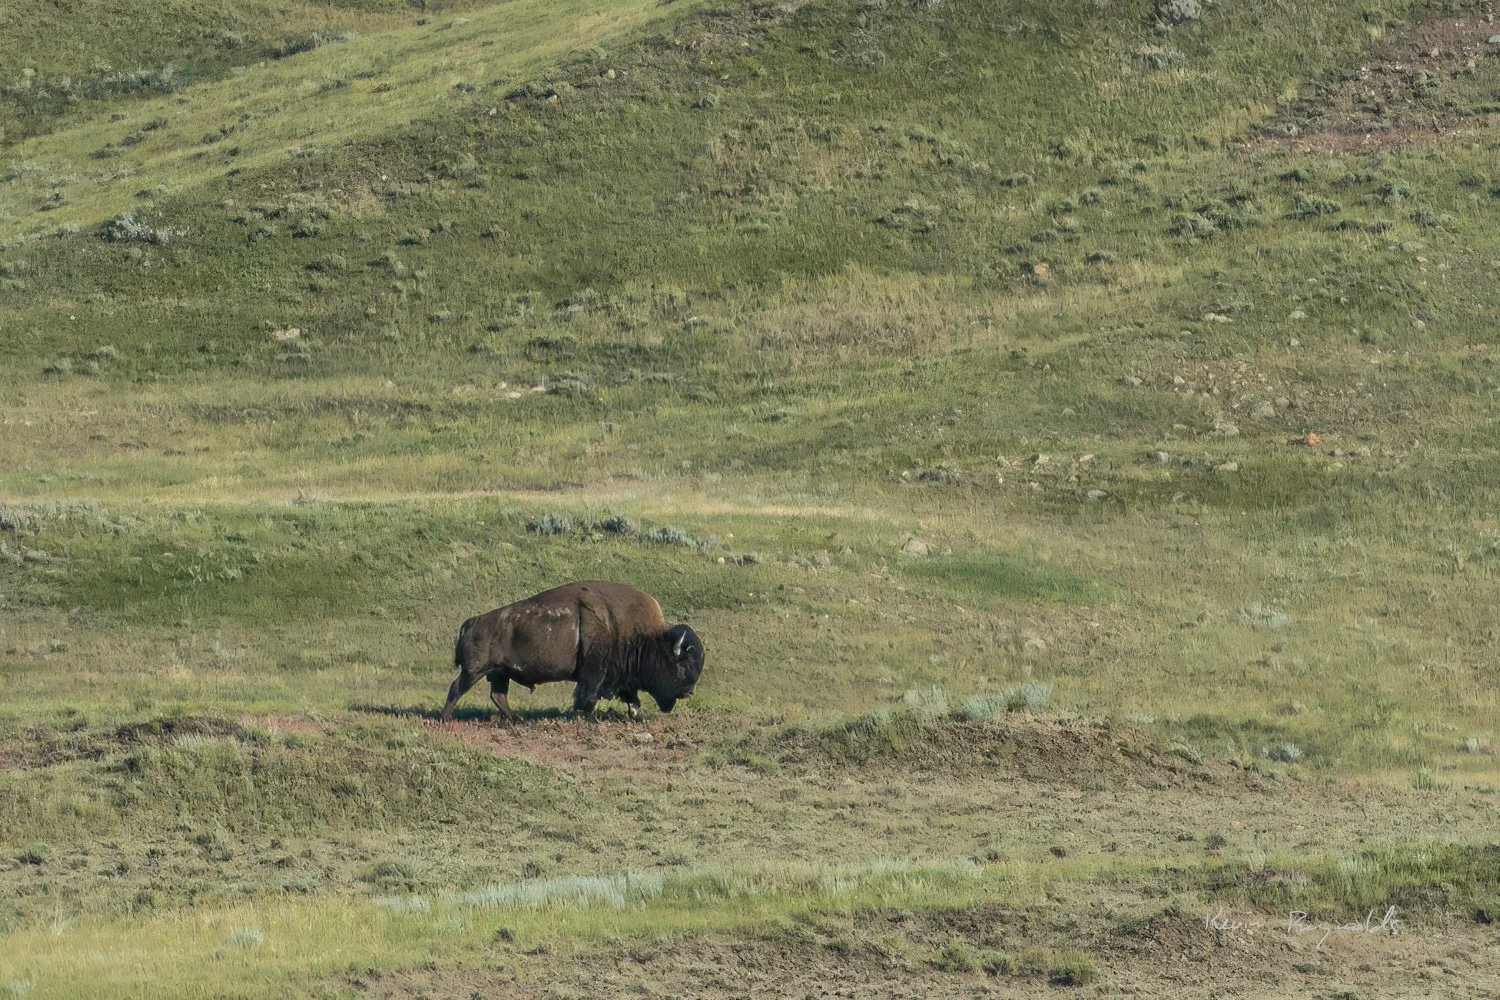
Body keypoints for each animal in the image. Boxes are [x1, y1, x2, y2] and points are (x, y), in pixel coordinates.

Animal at [440, 581, 705, 722]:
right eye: (682, 663)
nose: (689, 691)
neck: (648, 638)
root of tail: (471, 622)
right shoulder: (594, 674)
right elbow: (587, 696)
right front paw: (582, 715)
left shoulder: (624, 680)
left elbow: (632, 699)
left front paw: (638, 716)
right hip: (474, 671)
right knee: (456, 689)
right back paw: (446, 719)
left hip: (498, 672)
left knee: (498, 695)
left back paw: (516, 719)